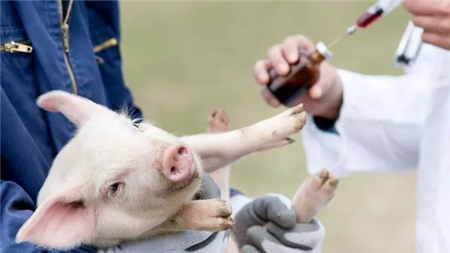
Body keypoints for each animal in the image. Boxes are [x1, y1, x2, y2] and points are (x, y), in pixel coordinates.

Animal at [15, 90, 308, 249]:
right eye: (114, 187)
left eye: (135, 125)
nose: (170, 157)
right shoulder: (118, 235)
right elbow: (172, 218)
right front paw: (221, 214)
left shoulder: (188, 145)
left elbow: (222, 146)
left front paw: (297, 118)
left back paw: (219, 118)